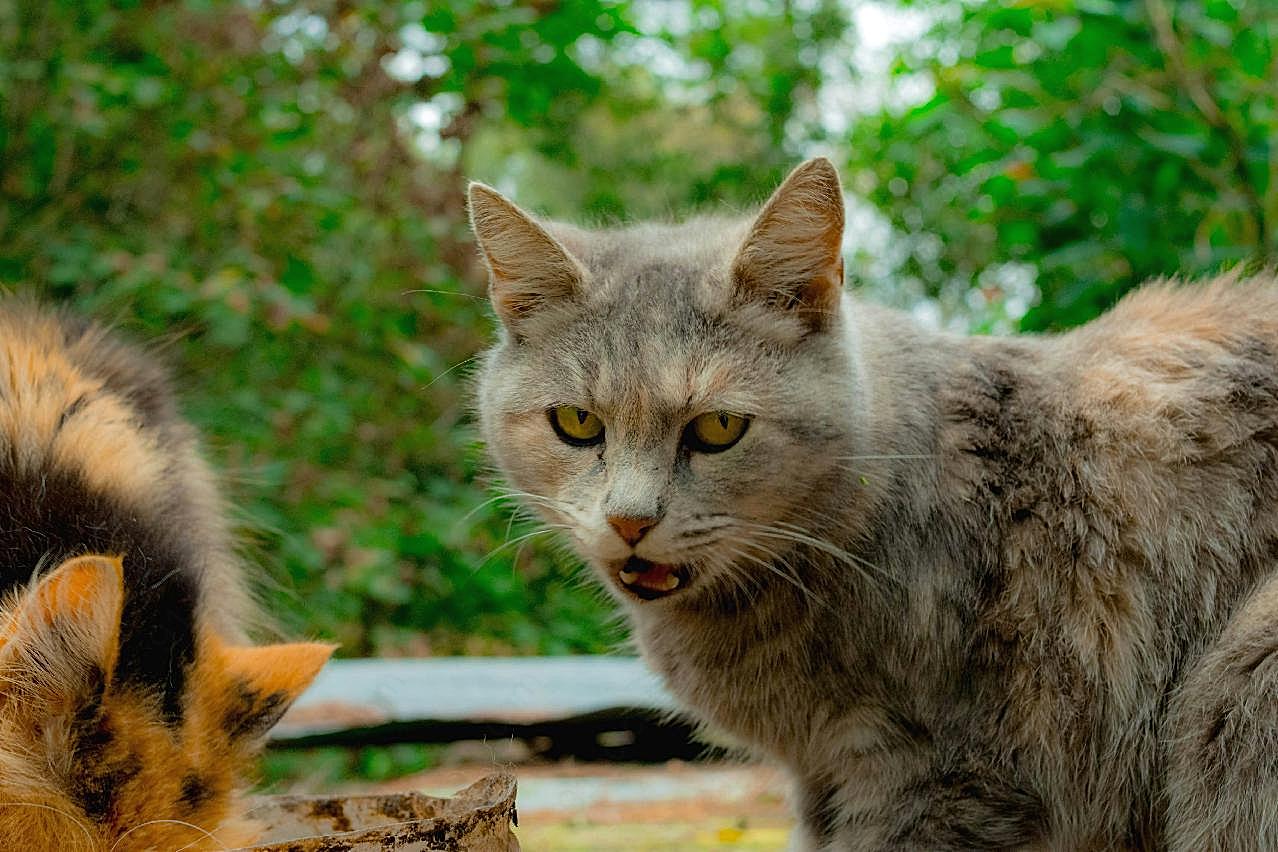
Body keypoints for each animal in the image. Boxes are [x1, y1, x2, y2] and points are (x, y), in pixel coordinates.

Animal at [467, 158, 1278, 848]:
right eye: (576, 423)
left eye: (719, 428)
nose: (630, 520)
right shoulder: (821, 775)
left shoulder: (937, 773)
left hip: (1243, 674)